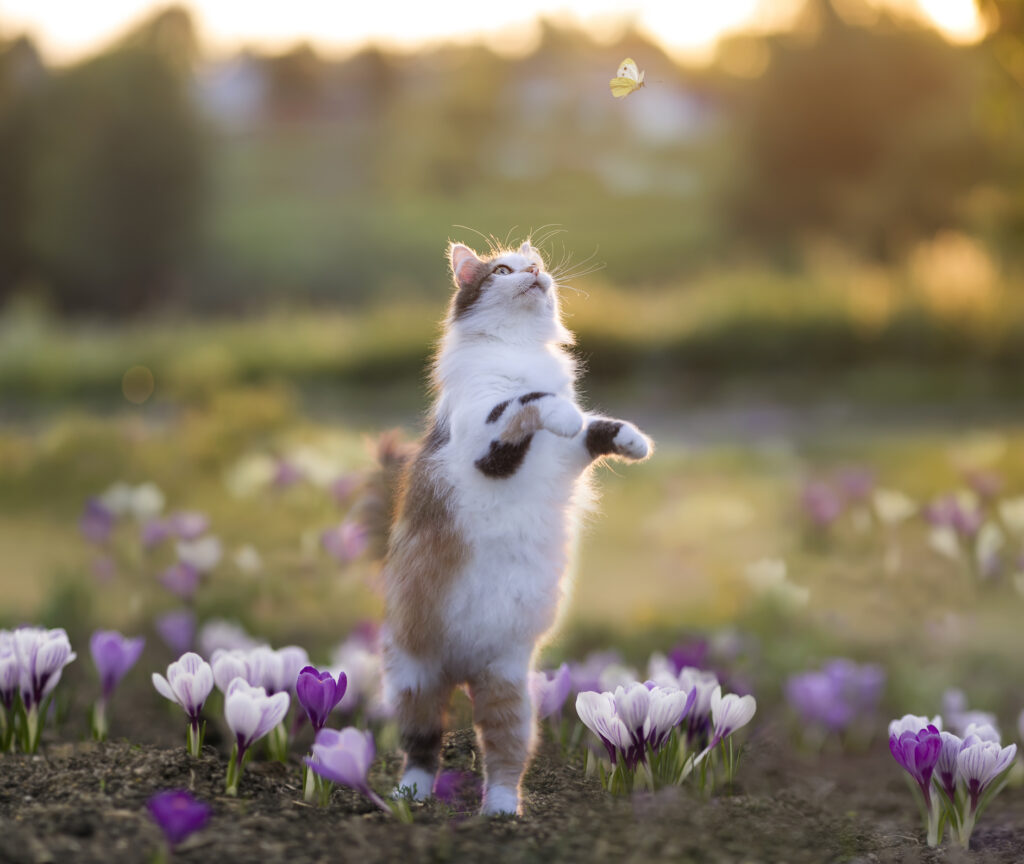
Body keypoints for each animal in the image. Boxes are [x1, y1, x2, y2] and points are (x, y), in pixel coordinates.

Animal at [380, 237, 651, 814]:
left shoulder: (569, 456)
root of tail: (463, 670)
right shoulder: (487, 449)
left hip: (509, 688)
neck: (520, 351)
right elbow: (530, 403)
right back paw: (410, 794)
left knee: (502, 757)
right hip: (415, 681)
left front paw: (635, 441)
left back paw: (502, 810)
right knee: (422, 746)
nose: (533, 274)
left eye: (537, 266)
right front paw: (562, 411)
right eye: (503, 271)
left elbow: (596, 426)